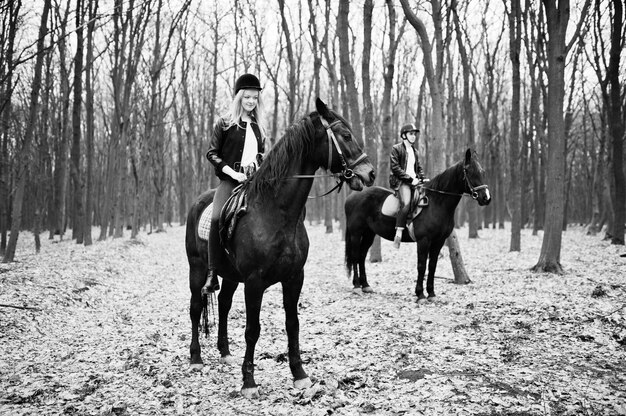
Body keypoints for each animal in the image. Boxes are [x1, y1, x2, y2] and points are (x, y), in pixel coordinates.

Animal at [183, 98, 372, 400]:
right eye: (345, 135)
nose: (369, 172)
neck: (275, 212)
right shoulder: (254, 282)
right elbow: (253, 329)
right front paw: (249, 382)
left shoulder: (294, 277)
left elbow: (292, 323)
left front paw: (300, 375)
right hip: (198, 269)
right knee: (195, 306)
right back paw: (196, 358)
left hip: (231, 276)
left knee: (223, 304)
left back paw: (225, 353)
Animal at [344, 150, 490, 300]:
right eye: (469, 171)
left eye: (482, 172)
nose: (486, 198)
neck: (436, 203)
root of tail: (351, 197)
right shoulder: (423, 240)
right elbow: (421, 265)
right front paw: (420, 294)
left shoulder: (438, 241)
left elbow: (432, 266)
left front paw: (431, 293)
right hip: (356, 233)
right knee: (355, 255)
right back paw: (357, 286)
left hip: (369, 233)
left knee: (361, 256)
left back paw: (365, 285)